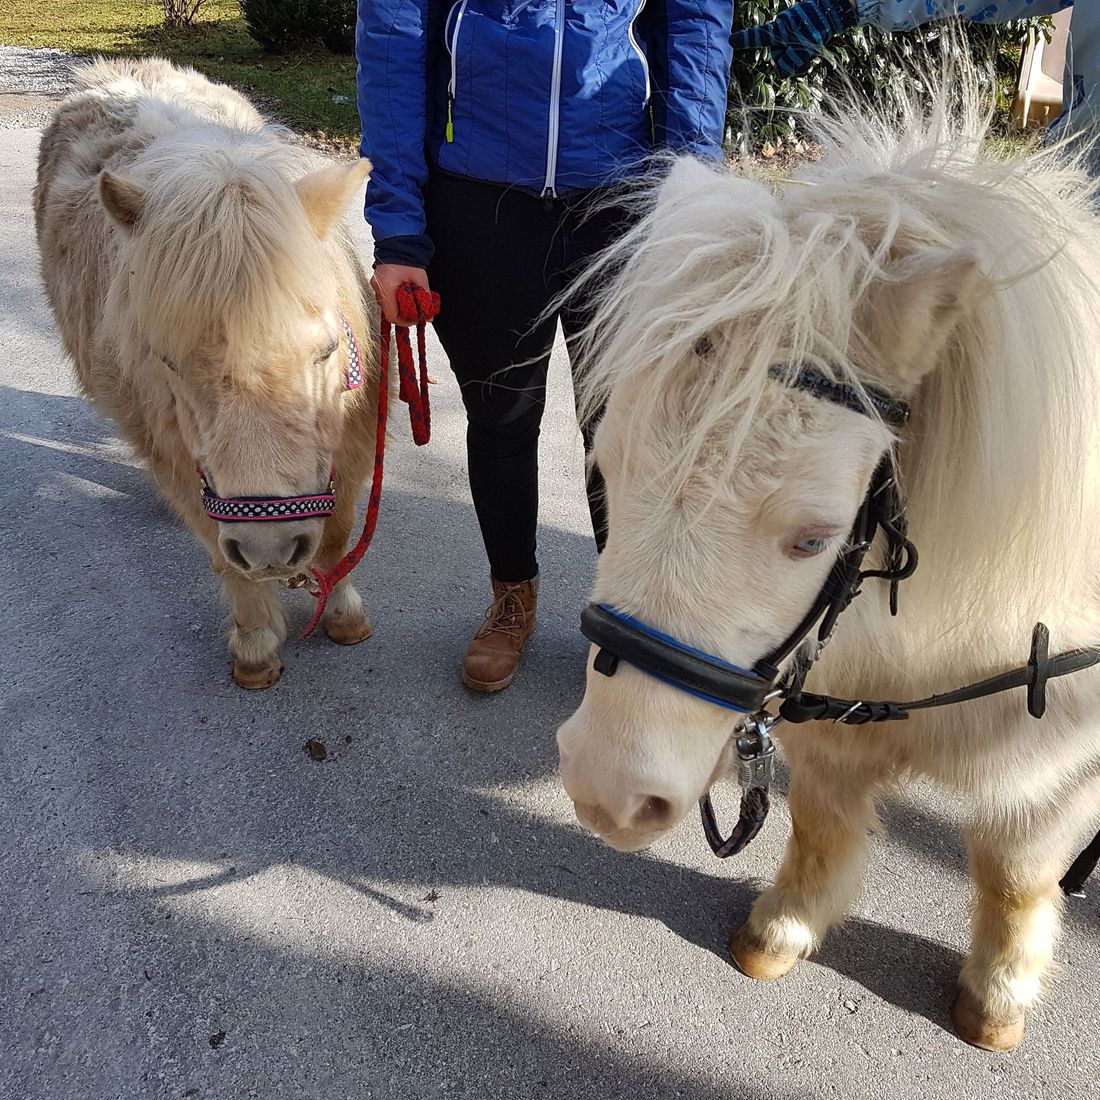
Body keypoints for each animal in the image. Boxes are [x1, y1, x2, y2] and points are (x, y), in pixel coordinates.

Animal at [34, 59, 378, 688]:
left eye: (325, 351)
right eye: (167, 361)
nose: (270, 548)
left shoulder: (349, 439)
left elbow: (339, 530)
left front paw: (344, 616)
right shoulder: (177, 451)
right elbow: (225, 556)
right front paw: (256, 645)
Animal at [556, 90, 1100, 1052]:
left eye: (812, 538)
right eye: (606, 475)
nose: (607, 794)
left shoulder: (1050, 771)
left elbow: (1014, 873)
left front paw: (998, 998)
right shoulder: (830, 732)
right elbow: (817, 825)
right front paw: (783, 929)